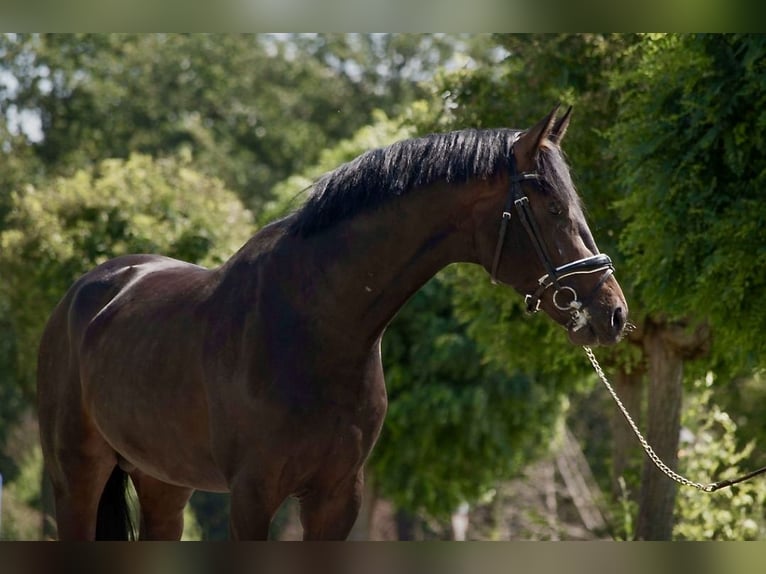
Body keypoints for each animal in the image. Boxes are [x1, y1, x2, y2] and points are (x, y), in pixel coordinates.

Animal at [37, 106, 632, 544]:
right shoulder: (252, 496)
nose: (614, 312)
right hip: (77, 476)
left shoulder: (338, 497)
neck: (314, 327)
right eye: (550, 207)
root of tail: (87, 292)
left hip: (162, 482)